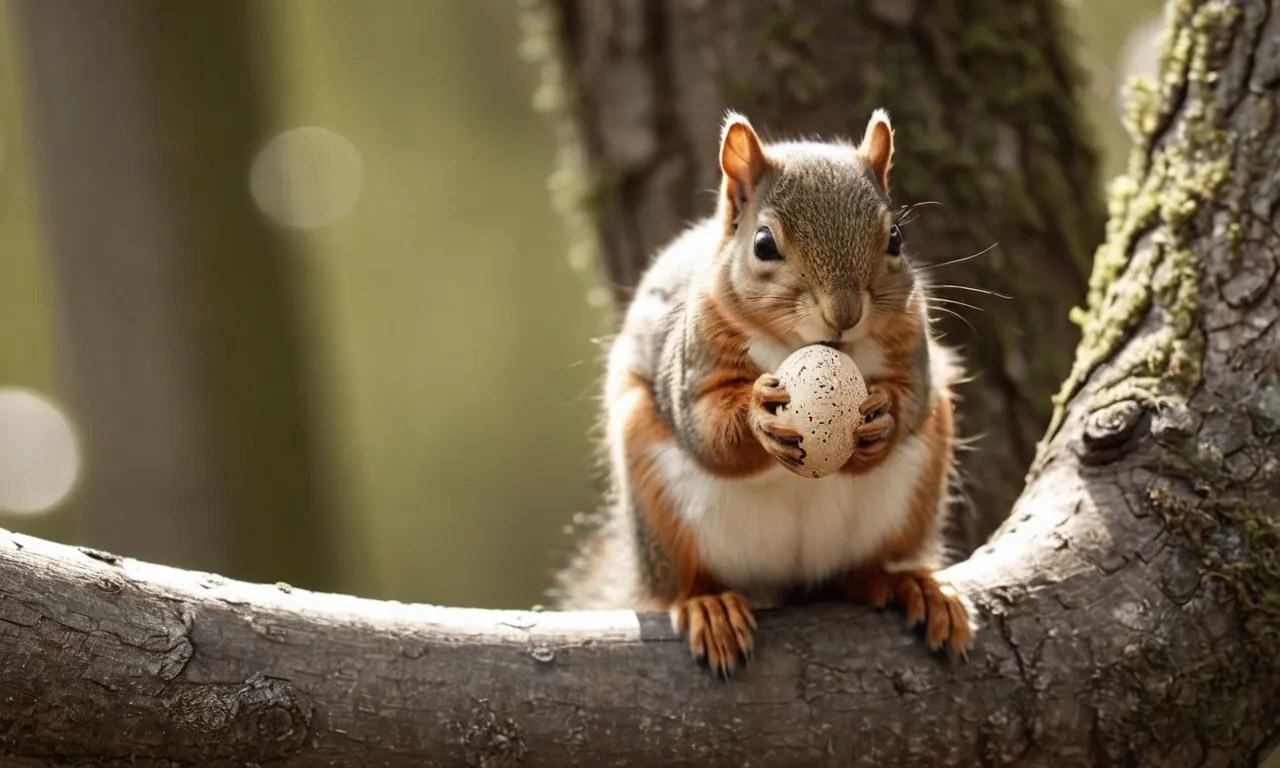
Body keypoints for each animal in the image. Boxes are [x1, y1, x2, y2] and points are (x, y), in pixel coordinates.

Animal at [552, 108, 974, 678]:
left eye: (896, 239)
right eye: (763, 245)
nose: (844, 315)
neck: (804, 344)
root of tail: (786, 580)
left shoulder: (915, 351)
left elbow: (913, 396)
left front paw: (882, 418)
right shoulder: (694, 365)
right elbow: (708, 429)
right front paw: (758, 416)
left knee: (863, 572)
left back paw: (907, 582)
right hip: (659, 509)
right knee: (680, 584)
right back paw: (706, 605)